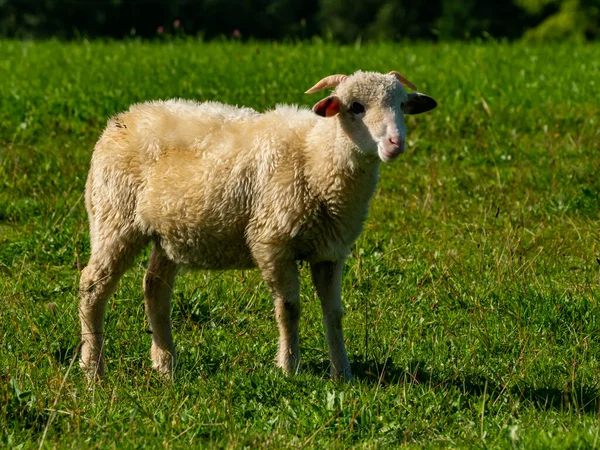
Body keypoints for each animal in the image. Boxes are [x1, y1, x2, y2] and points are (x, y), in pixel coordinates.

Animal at [78, 69, 436, 380]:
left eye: (401, 105)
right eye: (356, 107)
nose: (395, 143)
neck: (316, 155)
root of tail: (120, 120)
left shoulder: (330, 252)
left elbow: (334, 314)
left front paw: (343, 373)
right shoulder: (272, 243)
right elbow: (289, 308)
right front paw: (289, 367)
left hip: (167, 233)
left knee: (155, 289)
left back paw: (166, 365)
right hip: (114, 219)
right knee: (92, 287)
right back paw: (93, 368)